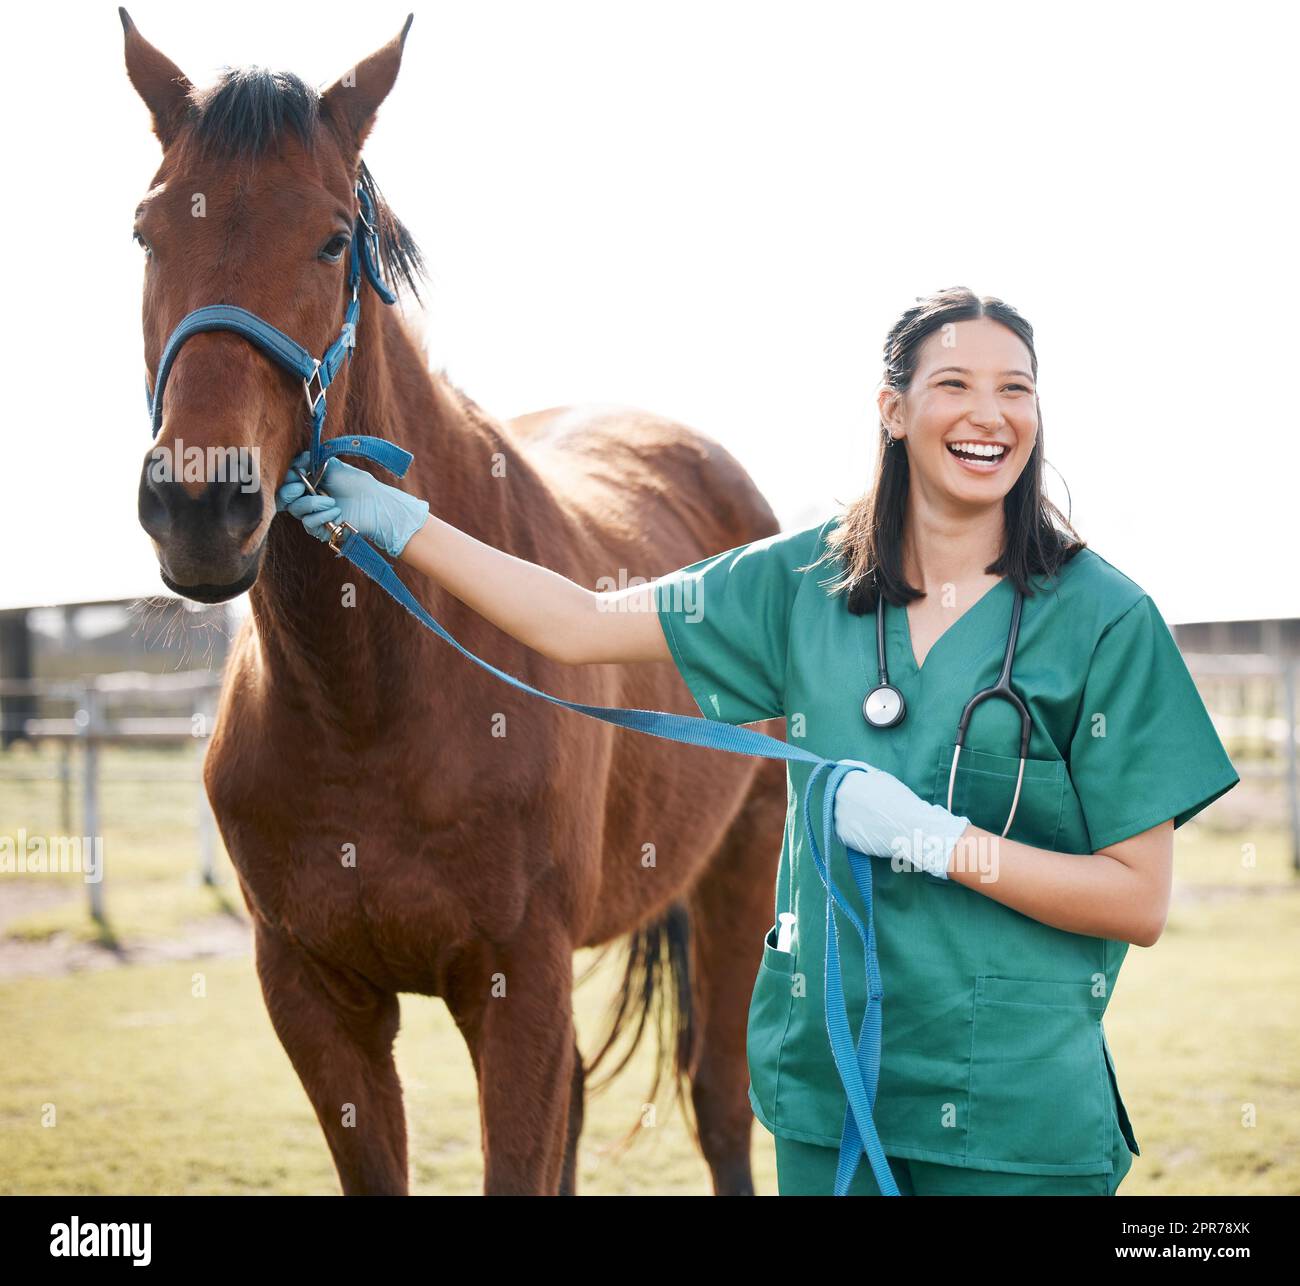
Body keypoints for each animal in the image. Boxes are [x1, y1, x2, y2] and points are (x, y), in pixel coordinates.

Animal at [126, 10, 785, 1196]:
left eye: (332, 240)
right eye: (148, 231)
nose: (199, 501)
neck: (368, 700)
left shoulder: (515, 986)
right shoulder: (315, 998)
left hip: (739, 874)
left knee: (719, 1098)